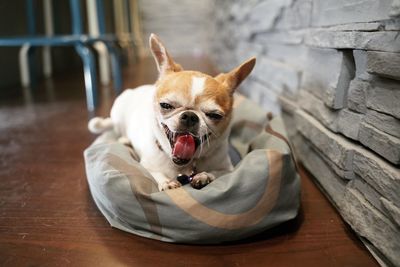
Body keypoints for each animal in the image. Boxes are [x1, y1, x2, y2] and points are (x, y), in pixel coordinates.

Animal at [88, 34, 256, 193]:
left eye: (215, 115)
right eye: (166, 105)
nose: (190, 116)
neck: (183, 164)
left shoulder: (228, 169)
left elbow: (217, 173)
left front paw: (204, 175)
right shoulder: (147, 165)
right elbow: (155, 173)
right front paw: (167, 182)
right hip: (118, 112)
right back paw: (124, 139)